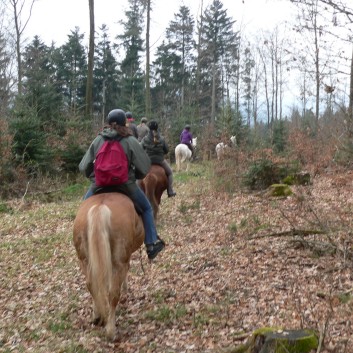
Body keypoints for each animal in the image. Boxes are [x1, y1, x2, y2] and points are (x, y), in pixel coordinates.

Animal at [72, 191, 144, 340]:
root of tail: (99, 208)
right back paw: (111, 330)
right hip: (118, 261)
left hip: (84, 260)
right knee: (113, 293)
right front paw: (126, 289)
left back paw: (98, 316)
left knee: (92, 284)